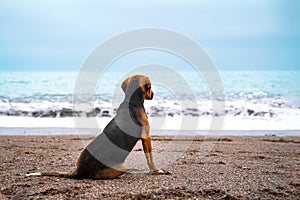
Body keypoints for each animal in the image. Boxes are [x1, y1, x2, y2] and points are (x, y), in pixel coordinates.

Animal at [26, 75, 169, 180]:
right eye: (150, 88)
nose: (153, 94)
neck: (131, 102)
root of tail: (79, 171)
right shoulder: (146, 138)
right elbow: (150, 159)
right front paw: (157, 171)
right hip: (121, 166)